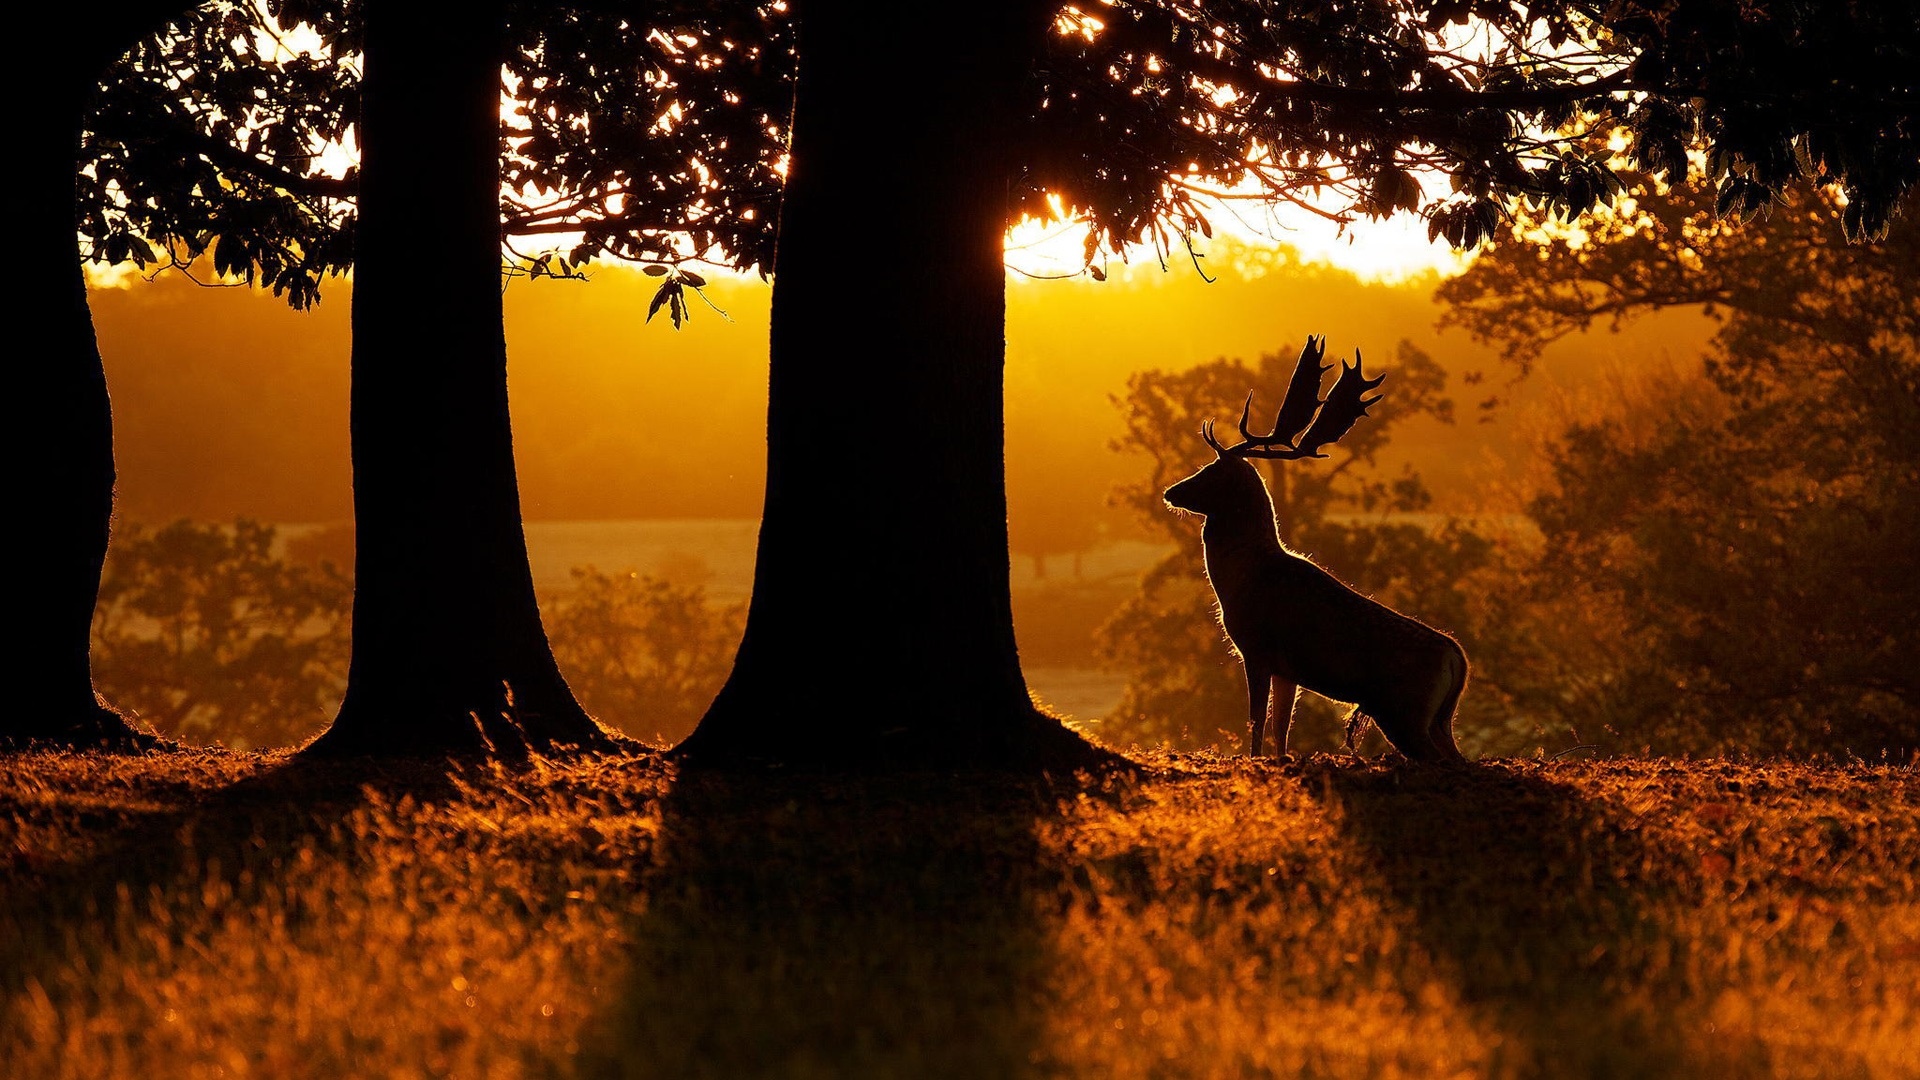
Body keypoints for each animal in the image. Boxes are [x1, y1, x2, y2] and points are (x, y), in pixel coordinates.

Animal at [1152, 332, 1466, 760]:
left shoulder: (1256, 648)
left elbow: (1256, 721)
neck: (1241, 578)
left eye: (1210, 471)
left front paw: (1254, 759)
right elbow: (1282, 728)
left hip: (1405, 712)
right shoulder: (1289, 671)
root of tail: (1458, 658)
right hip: (1438, 719)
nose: (1171, 491)